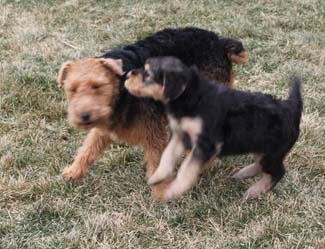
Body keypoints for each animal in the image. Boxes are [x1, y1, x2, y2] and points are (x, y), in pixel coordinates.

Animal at [58, 27, 247, 199]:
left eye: (97, 86)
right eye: (72, 89)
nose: (84, 116)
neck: (122, 89)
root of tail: (220, 42)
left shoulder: (153, 133)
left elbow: (156, 164)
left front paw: (161, 193)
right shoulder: (105, 128)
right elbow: (88, 148)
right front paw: (73, 172)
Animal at [124, 57, 302, 200]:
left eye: (147, 73)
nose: (127, 75)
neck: (189, 96)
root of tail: (291, 108)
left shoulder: (206, 143)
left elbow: (187, 168)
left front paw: (173, 191)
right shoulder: (179, 134)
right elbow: (167, 155)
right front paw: (157, 177)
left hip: (272, 152)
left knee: (278, 172)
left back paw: (254, 191)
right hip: (260, 146)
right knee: (263, 165)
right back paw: (244, 173)